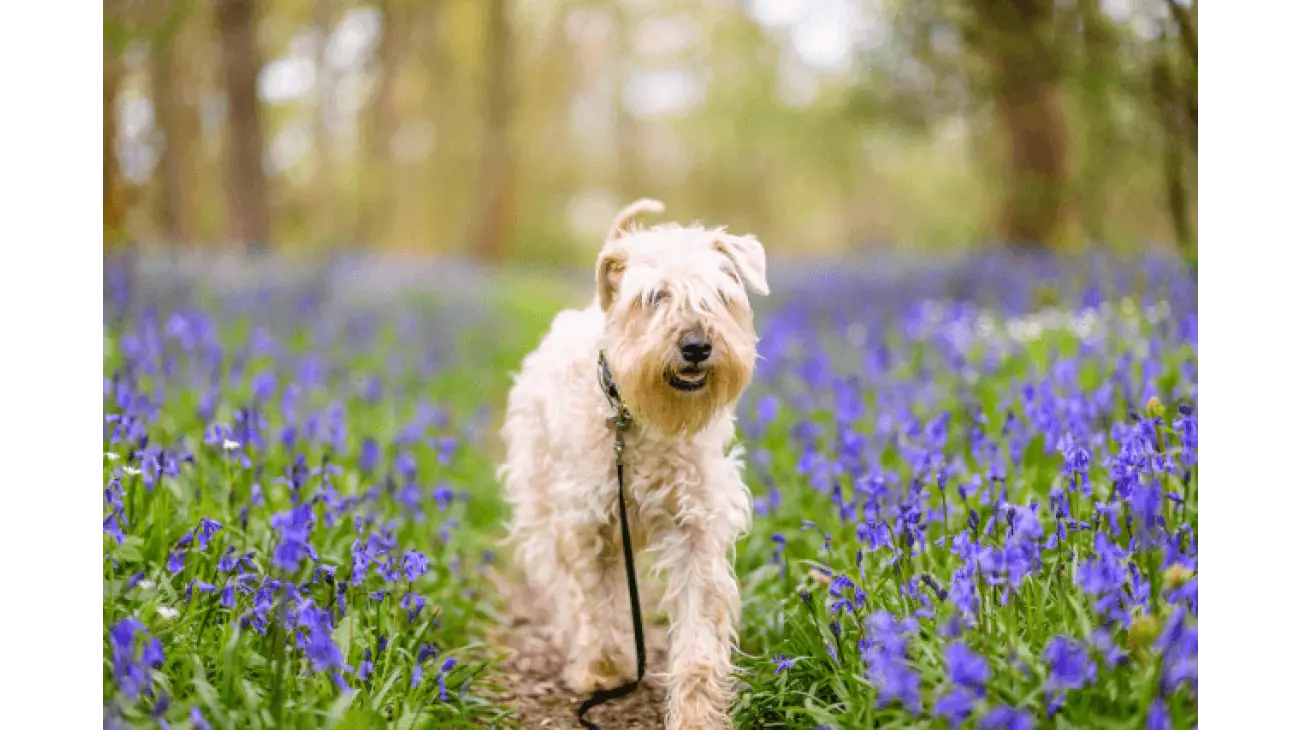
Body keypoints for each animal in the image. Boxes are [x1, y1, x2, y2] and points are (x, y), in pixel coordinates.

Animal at [493, 198, 759, 727]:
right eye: (654, 297)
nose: (696, 345)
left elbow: (698, 637)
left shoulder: (697, 528)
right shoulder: (586, 524)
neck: (638, 420)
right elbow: (594, 603)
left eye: (719, 296)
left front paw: (695, 715)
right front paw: (601, 669)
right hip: (544, 508)